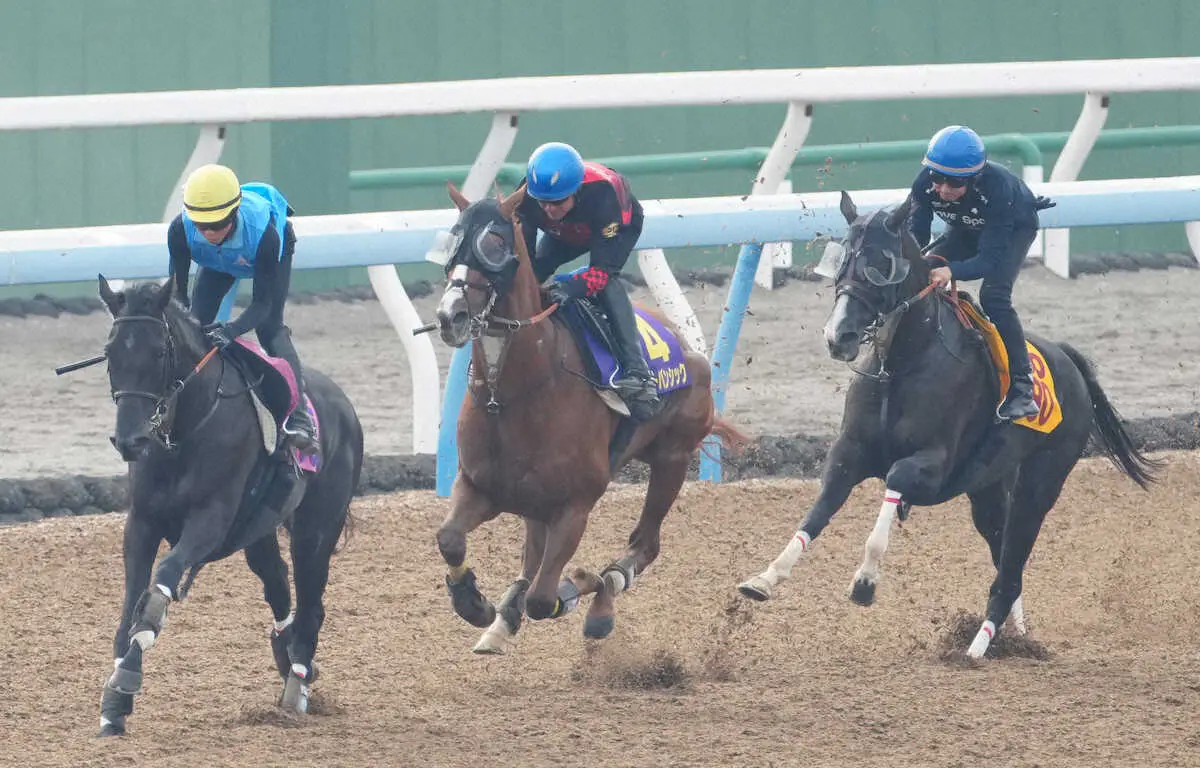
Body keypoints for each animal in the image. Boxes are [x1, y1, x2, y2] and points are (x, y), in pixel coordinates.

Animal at [95, 278, 360, 734]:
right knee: (278, 586)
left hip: (317, 528)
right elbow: (131, 599)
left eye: (159, 352)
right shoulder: (142, 522)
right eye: (112, 353)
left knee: (312, 605)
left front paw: (129, 669)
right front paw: (115, 699)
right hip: (259, 532)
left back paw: (297, 685)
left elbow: (161, 583)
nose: (130, 440)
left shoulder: (211, 519)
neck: (182, 434)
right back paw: (288, 656)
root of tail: (344, 405)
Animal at [427, 182, 734, 652]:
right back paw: (503, 618)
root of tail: (689, 350)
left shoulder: (574, 506)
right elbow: (450, 539)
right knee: (533, 557)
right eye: (453, 240)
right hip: (534, 500)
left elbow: (544, 598)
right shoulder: (480, 486)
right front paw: (474, 603)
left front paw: (585, 587)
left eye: (494, 244)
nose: (451, 316)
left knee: (644, 547)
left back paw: (604, 592)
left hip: (673, 458)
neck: (510, 394)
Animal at [734, 192, 1156, 662]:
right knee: (1004, 557)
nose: (837, 335)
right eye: (843, 258)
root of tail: (1069, 360)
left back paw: (976, 649)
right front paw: (765, 578)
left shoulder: (933, 465)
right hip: (987, 492)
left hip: (1040, 485)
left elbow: (894, 482)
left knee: (1010, 570)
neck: (902, 363)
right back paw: (1014, 636)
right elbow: (818, 511)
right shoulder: (849, 452)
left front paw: (865, 581)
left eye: (881, 262)